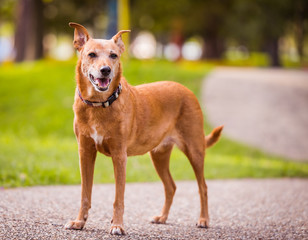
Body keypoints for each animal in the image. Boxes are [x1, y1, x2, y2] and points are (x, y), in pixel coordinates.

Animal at [65, 21, 223, 235]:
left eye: (113, 55)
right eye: (92, 54)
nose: (105, 70)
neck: (98, 105)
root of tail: (185, 89)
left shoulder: (119, 155)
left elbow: (119, 197)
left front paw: (117, 225)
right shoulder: (85, 152)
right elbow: (85, 193)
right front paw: (79, 222)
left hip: (195, 150)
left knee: (203, 187)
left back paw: (203, 219)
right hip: (159, 155)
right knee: (171, 186)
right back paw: (162, 217)